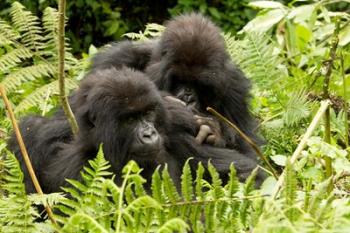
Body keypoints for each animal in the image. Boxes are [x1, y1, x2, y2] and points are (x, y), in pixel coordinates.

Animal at [7, 66, 262, 194]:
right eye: (129, 119)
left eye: (148, 113)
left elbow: (251, 173)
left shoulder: (176, 135)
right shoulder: (75, 171)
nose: (149, 134)